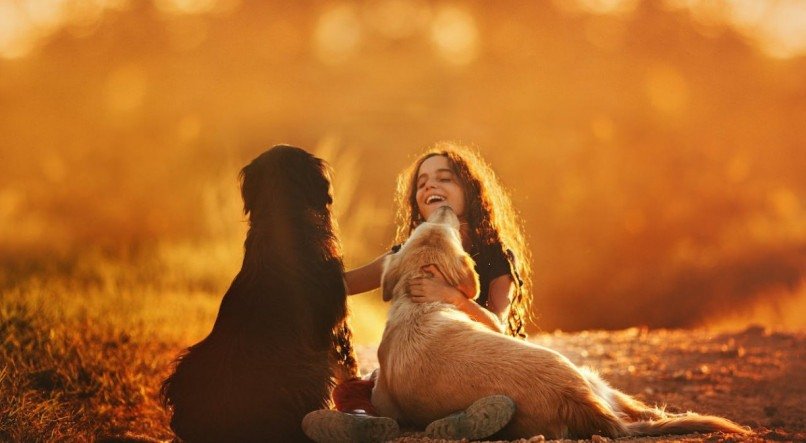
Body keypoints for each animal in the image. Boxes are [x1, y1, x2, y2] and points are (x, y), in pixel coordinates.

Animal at [372, 207, 752, 440]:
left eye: (431, 228)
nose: (446, 208)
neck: (420, 298)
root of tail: (575, 395)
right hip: (590, 375)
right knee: (643, 410)